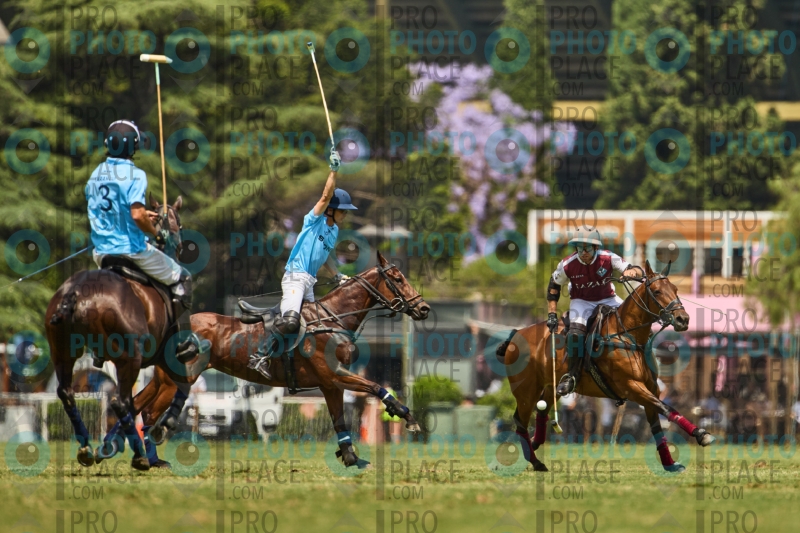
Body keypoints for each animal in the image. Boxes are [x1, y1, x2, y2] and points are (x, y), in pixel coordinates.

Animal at [44, 196, 189, 470]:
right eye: (180, 224)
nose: (178, 248)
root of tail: (76, 292)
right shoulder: (165, 356)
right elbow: (180, 387)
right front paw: (165, 426)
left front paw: (110, 446)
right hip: (129, 358)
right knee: (119, 403)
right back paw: (139, 456)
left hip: (63, 351)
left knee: (67, 393)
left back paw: (87, 448)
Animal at [133, 250, 430, 468]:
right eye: (398, 279)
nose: (424, 308)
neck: (332, 319)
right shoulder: (334, 375)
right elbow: (376, 387)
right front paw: (406, 416)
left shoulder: (330, 385)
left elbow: (339, 420)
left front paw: (350, 457)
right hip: (178, 378)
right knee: (149, 412)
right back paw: (148, 459)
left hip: (164, 377)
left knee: (137, 405)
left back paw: (143, 458)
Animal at [496, 260, 714, 473]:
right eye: (657, 291)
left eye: (675, 289)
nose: (683, 319)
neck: (629, 337)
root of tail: (516, 334)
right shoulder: (631, 386)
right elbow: (666, 408)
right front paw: (701, 434)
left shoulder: (652, 388)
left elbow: (658, 424)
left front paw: (670, 464)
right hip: (526, 391)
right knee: (520, 422)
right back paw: (535, 462)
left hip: (551, 387)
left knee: (541, 412)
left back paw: (533, 448)